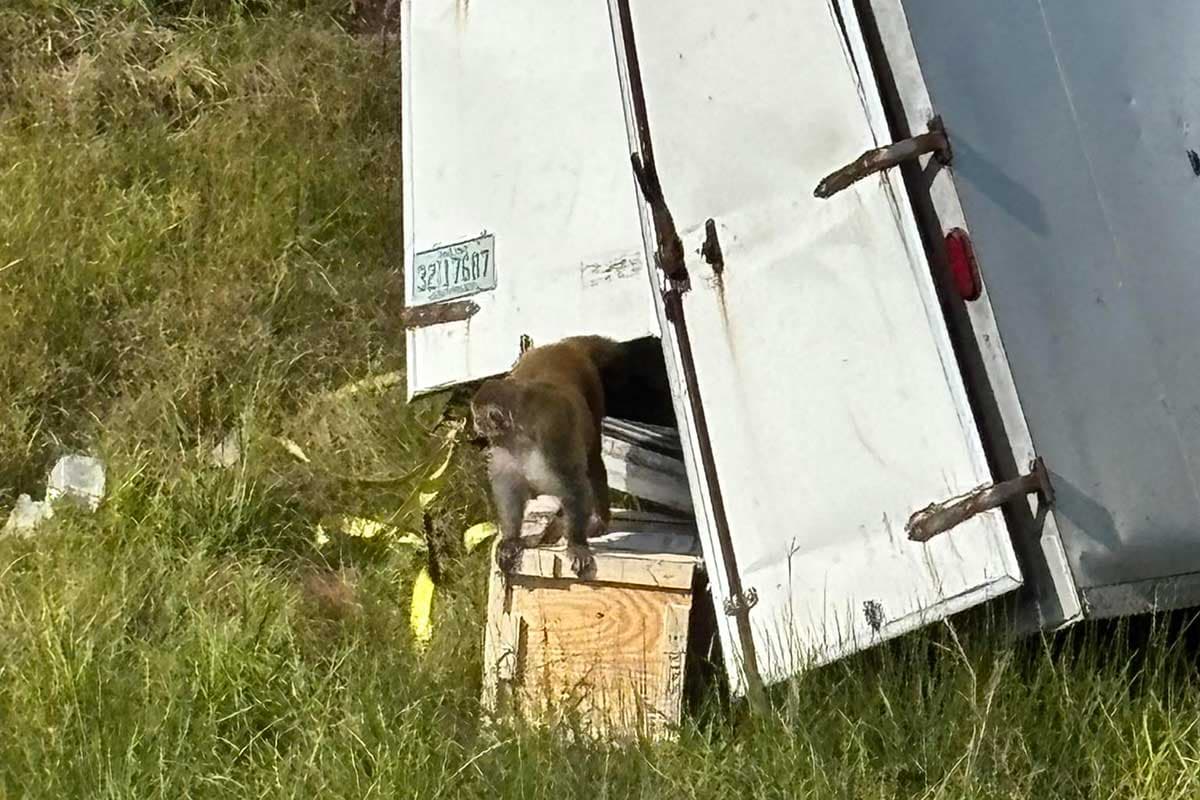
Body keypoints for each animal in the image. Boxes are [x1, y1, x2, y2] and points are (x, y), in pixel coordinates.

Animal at [471, 335, 622, 578]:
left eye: (478, 418)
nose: (475, 426)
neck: (520, 435)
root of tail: (563, 346)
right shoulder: (504, 447)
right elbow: (509, 489)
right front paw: (511, 539)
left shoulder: (553, 436)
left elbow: (574, 484)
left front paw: (577, 544)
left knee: (593, 461)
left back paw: (599, 519)